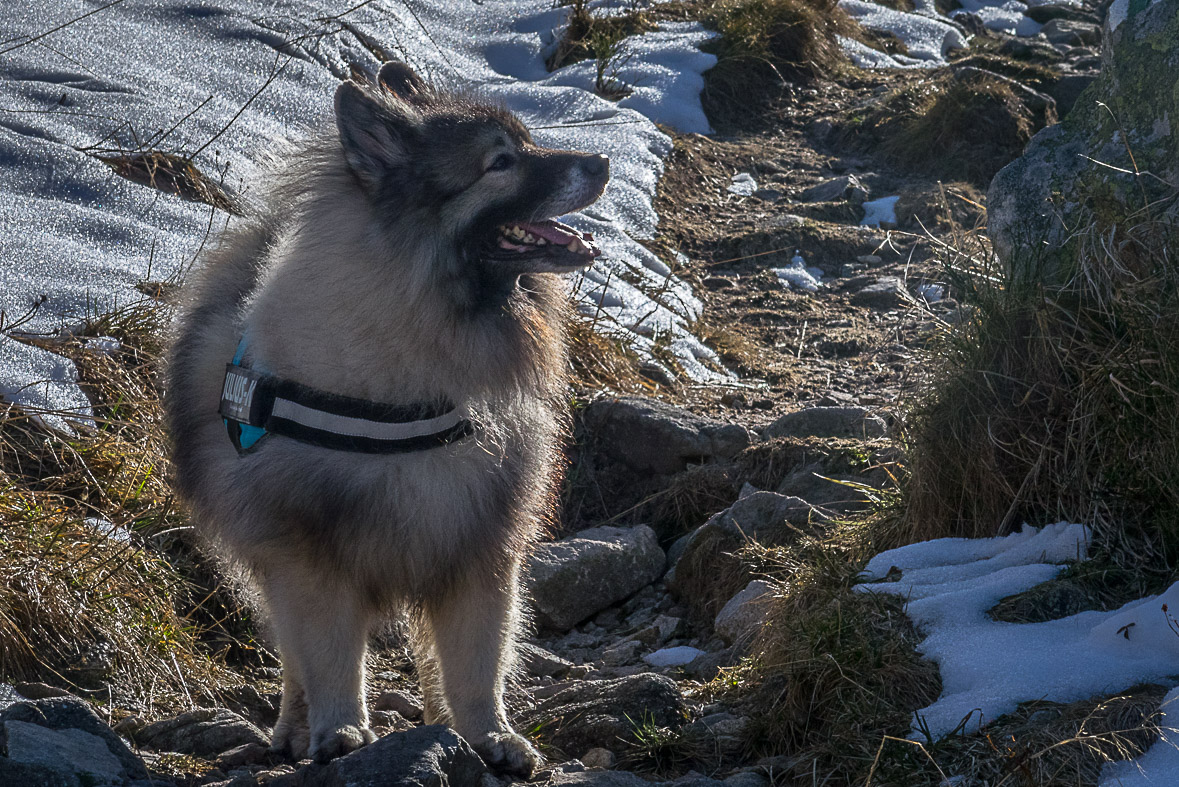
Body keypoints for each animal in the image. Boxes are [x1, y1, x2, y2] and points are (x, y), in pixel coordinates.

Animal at [168, 63, 608, 772]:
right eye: (500, 163)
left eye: (526, 140)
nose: (601, 163)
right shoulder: (308, 558)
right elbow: (329, 659)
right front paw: (343, 731)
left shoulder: (479, 549)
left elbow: (476, 663)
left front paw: (489, 735)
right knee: (293, 660)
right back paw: (297, 731)